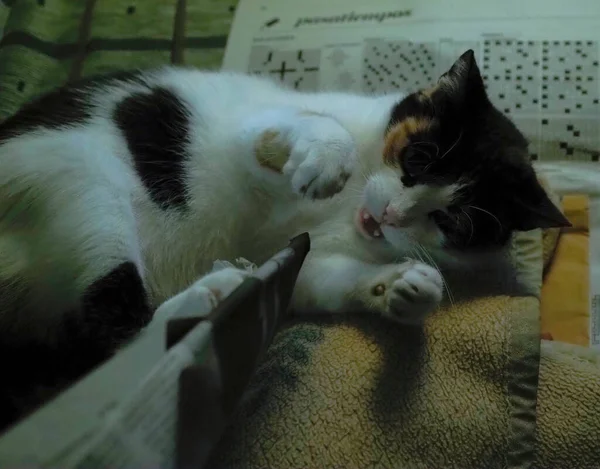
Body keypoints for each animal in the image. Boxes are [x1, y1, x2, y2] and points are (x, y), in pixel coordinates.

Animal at [0, 49, 568, 426]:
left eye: (451, 222)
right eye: (418, 157)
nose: (392, 212)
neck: (350, 206)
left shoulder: (307, 260)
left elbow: (327, 278)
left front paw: (403, 288)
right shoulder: (257, 129)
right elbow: (306, 129)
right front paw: (326, 162)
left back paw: (218, 292)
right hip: (85, 189)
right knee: (110, 340)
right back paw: (212, 294)